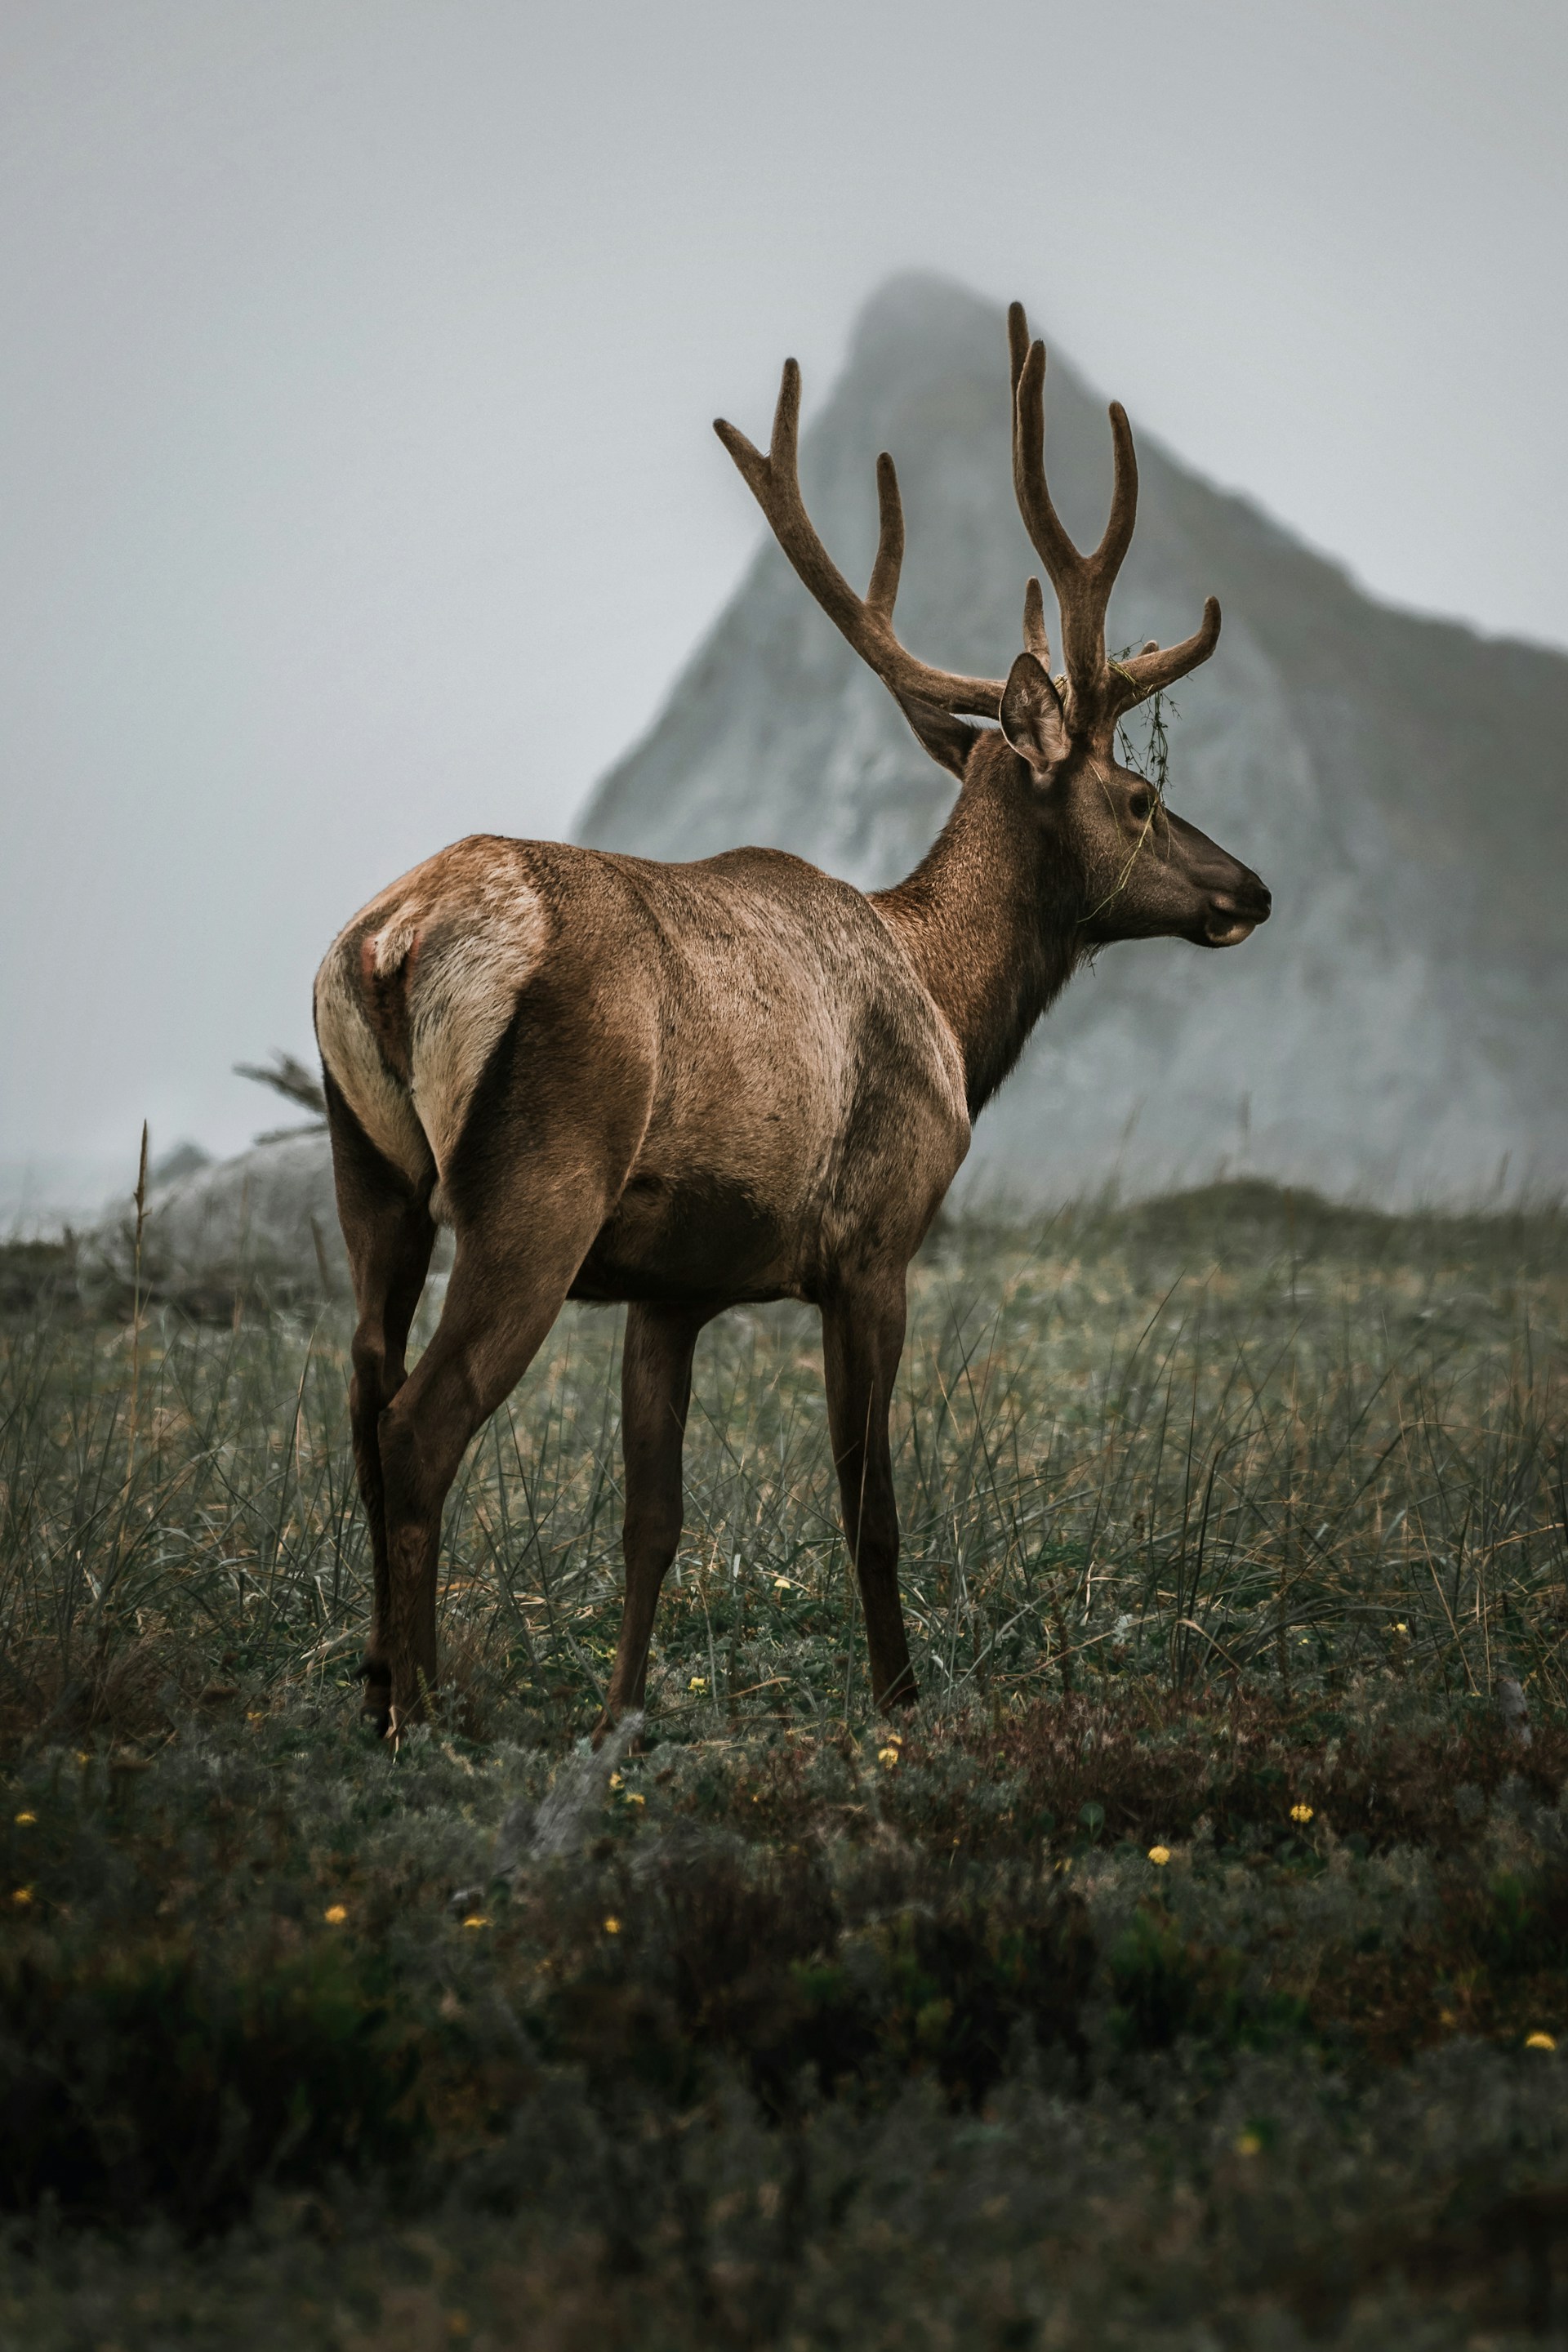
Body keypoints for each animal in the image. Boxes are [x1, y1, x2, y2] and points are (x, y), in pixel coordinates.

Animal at [313, 301, 1271, 1741]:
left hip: (367, 1173)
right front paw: (900, 1703)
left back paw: (376, 1689)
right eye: (1144, 798)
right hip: (535, 1186)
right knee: (423, 1425)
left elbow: (652, 1519)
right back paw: (416, 1718)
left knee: (364, 1403)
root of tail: (391, 942)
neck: (954, 1015)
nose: (1250, 889)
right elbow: (868, 1504)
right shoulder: (876, 1241)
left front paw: (622, 1717)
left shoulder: (671, 1287)